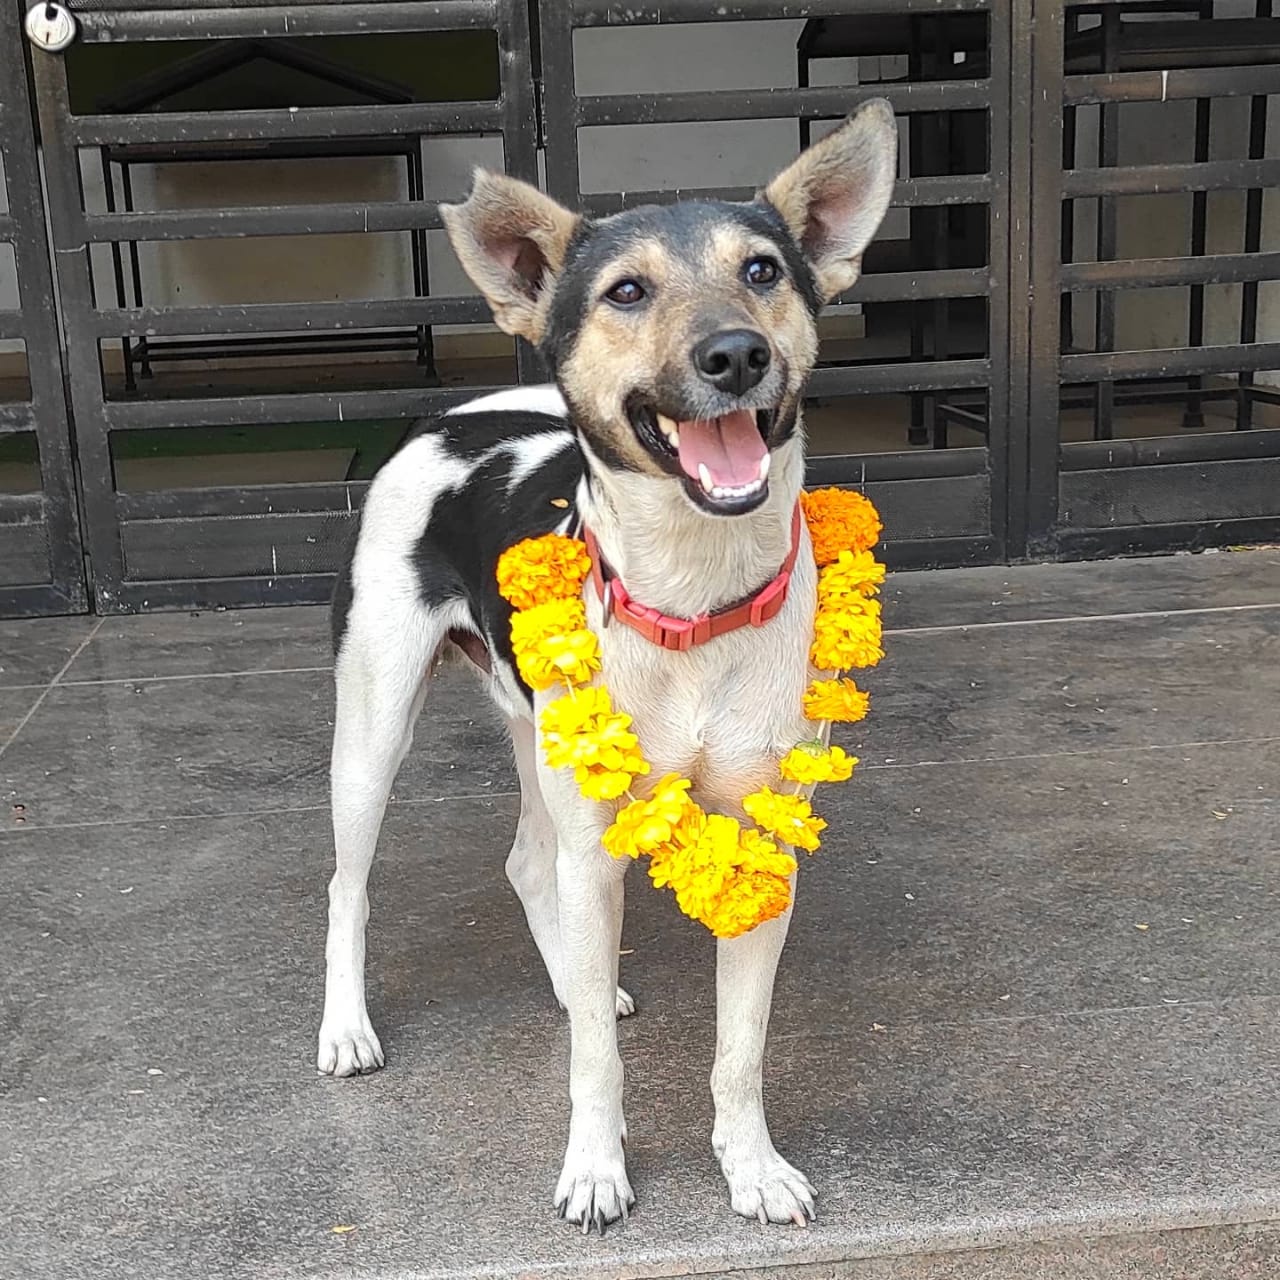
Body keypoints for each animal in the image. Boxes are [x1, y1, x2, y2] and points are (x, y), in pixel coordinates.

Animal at [317, 99, 901, 1228]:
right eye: (626, 290)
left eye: (764, 270)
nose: (734, 355)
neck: (695, 594)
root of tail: (445, 419)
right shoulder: (595, 838)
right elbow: (593, 1058)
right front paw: (594, 1168)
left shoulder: (763, 838)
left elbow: (739, 1048)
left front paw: (751, 1165)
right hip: (372, 725)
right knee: (347, 885)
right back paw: (346, 1027)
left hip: (538, 730)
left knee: (526, 864)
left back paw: (565, 979)